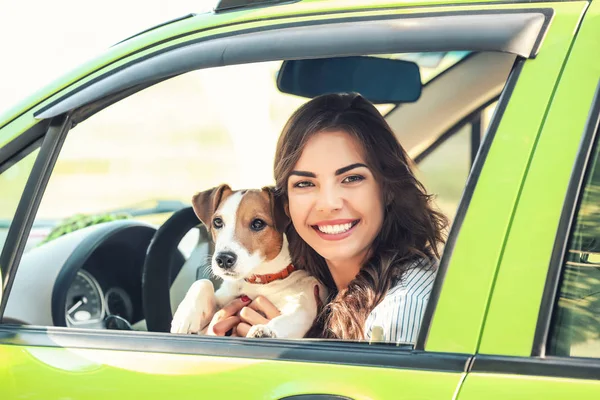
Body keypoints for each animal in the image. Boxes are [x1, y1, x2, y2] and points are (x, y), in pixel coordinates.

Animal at [169, 184, 328, 338]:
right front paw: (185, 316)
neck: (259, 282)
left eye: (258, 223)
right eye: (217, 222)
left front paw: (266, 330)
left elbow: (286, 321)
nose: (224, 259)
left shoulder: (303, 309)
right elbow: (203, 283)